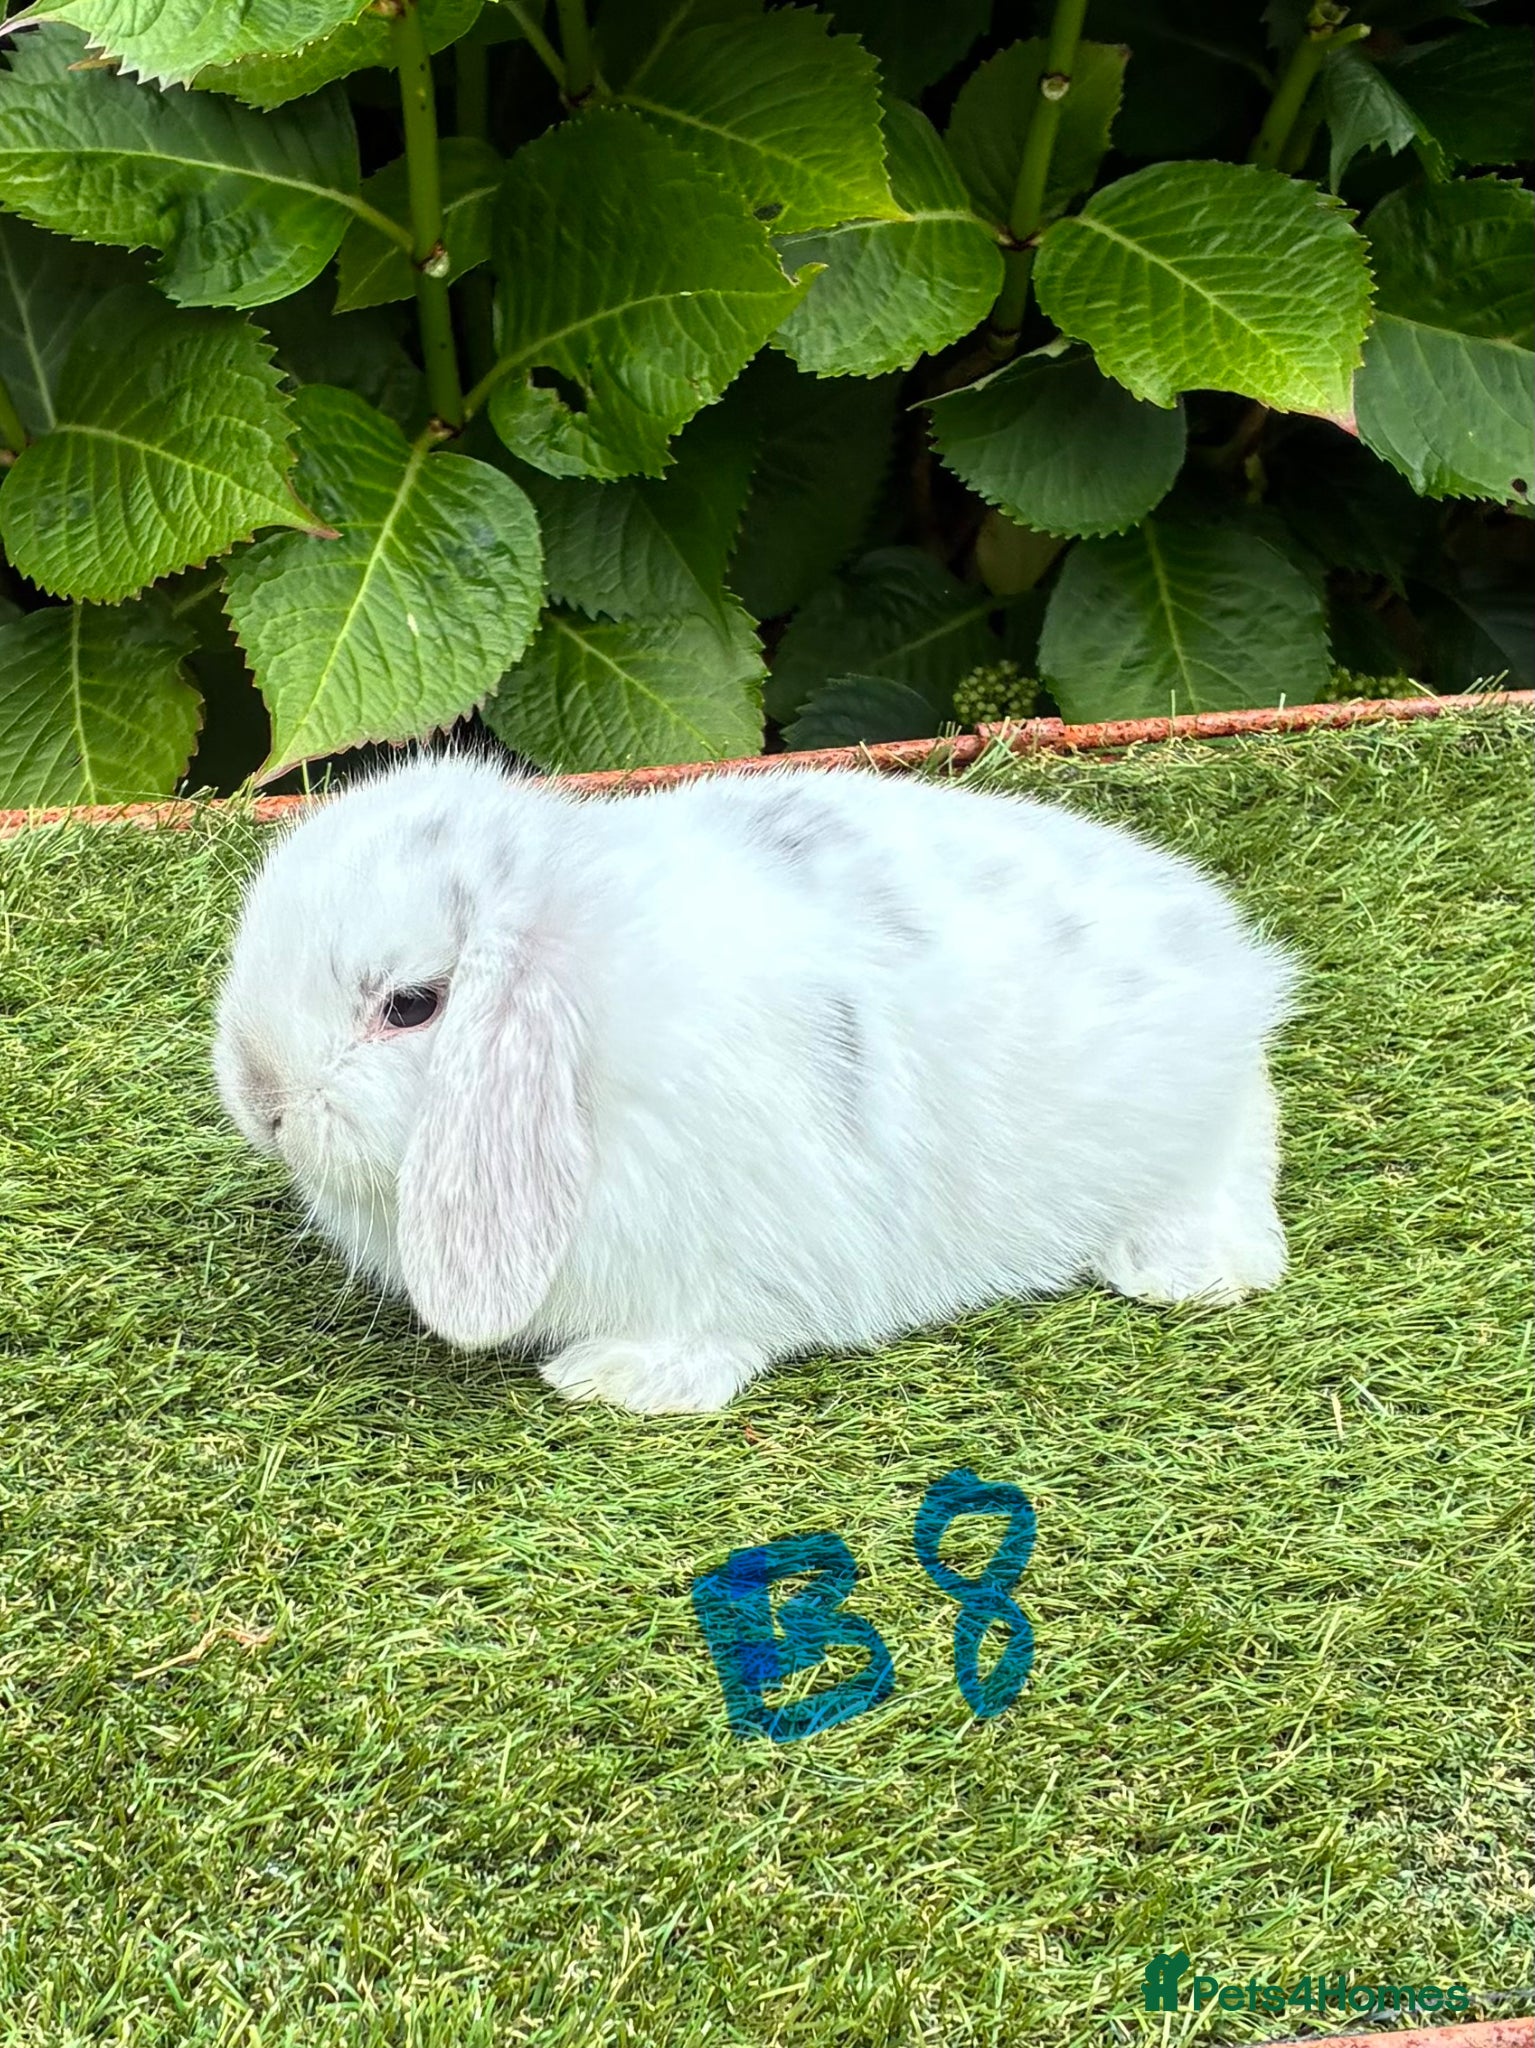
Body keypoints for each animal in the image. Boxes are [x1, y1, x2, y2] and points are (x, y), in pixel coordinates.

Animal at [212, 750, 1297, 1414]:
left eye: (410, 1005)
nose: (262, 1103)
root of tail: (1228, 953)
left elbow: (708, 1336)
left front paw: (613, 1379)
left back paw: (1189, 1267)